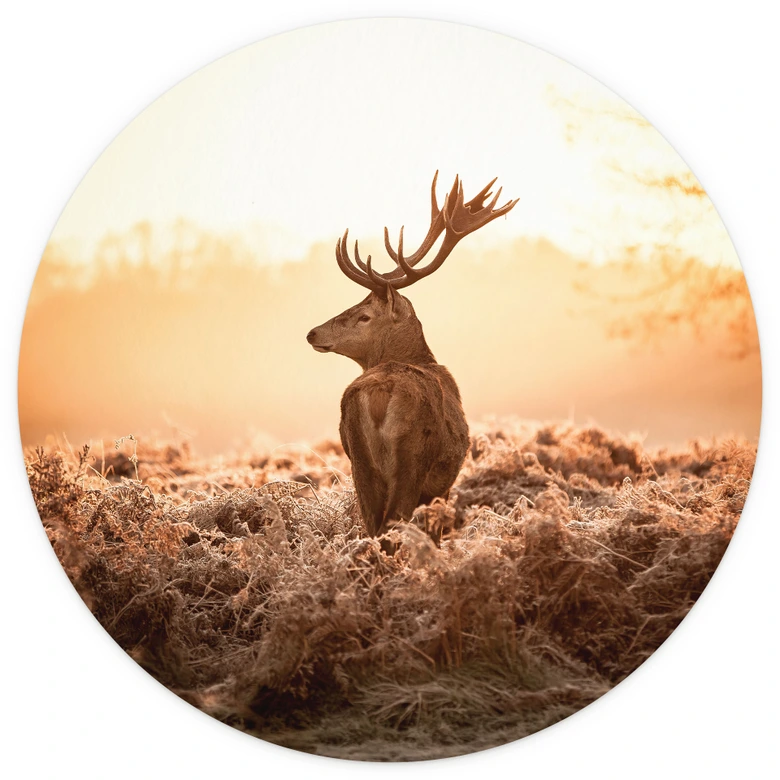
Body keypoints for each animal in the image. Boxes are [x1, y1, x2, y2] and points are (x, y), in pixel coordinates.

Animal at [306, 172, 518, 549]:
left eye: (363, 315)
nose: (313, 333)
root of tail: (378, 393)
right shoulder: (441, 485)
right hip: (413, 458)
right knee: (394, 523)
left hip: (359, 460)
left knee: (372, 523)